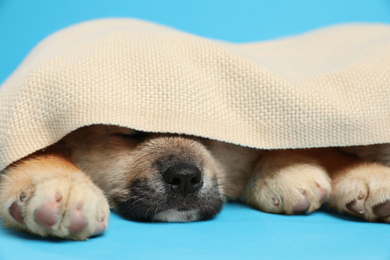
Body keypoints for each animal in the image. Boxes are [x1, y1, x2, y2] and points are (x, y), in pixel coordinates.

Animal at [0, 124, 390, 240]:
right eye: (130, 133)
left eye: (207, 136)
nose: (185, 178)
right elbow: (40, 152)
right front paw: (61, 185)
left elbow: (331, 149)